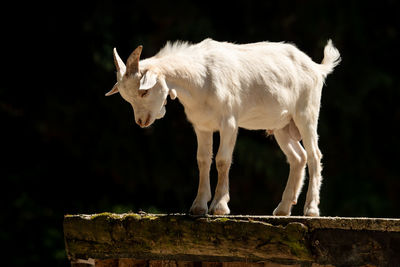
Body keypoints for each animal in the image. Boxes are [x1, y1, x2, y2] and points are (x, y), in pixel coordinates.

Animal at [106, 38, 340, 218]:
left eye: (144, 92)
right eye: (127, 98)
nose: (142, 121)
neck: (200, 78)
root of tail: (316, 68)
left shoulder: (229, 123)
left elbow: (222, 160)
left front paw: (219, 206)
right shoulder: (202, 126)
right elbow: (202, 160)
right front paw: (198, 206)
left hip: (306, 114)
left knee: (314, 155)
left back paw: (311, 210)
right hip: (282, 126)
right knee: (298, 157)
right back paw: (282, 209)